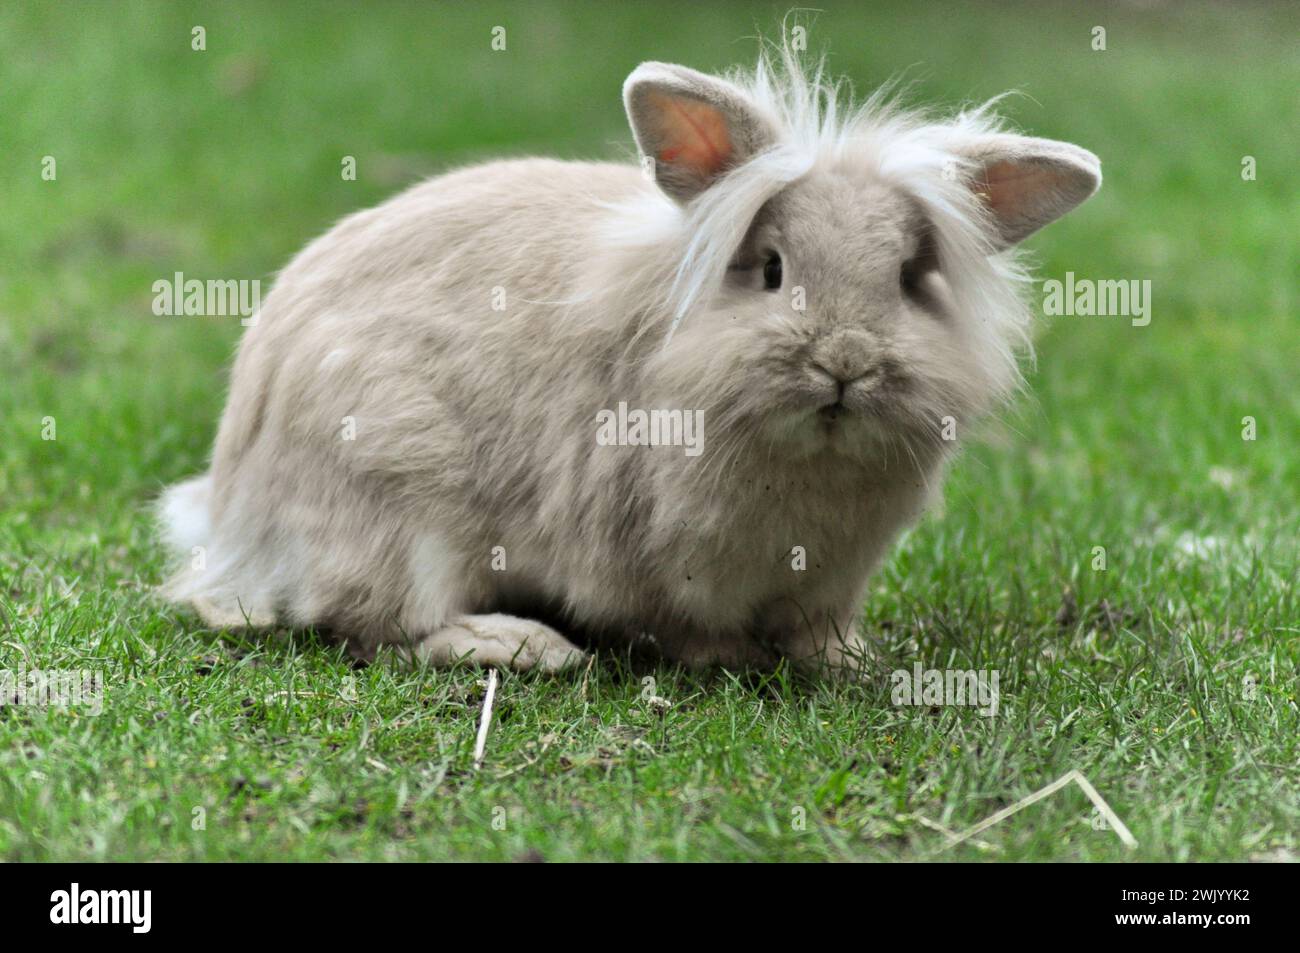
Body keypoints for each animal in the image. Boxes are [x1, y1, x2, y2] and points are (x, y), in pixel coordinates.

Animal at [157, 45, 1100, 673]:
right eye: (770, 268)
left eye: (910, 278)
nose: (845, 360)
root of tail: (237, 513)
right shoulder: (659, 558)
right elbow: (690, 627)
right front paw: (728, 661)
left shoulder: (832, 580)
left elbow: (820, 631)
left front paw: (850, 662)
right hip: (398, 511)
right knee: (385, 623)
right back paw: (524, 644)